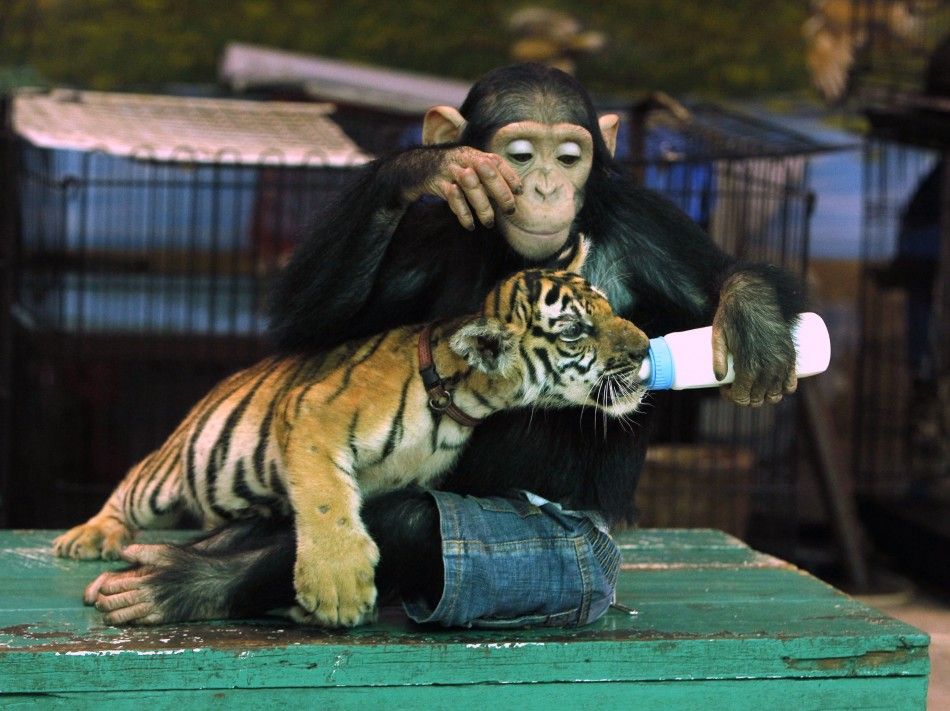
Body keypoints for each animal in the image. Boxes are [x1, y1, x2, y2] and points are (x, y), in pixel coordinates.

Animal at [87, 62, 804, 628]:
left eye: (570, 157)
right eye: (521, 155)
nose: (548, 187)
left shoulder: (645, 224)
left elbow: (717, 276)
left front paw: (755, 326)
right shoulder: (407, 257)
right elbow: (310, 334)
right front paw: (429, 166)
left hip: (576, 560)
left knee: (412, 522)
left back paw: (188, 578)